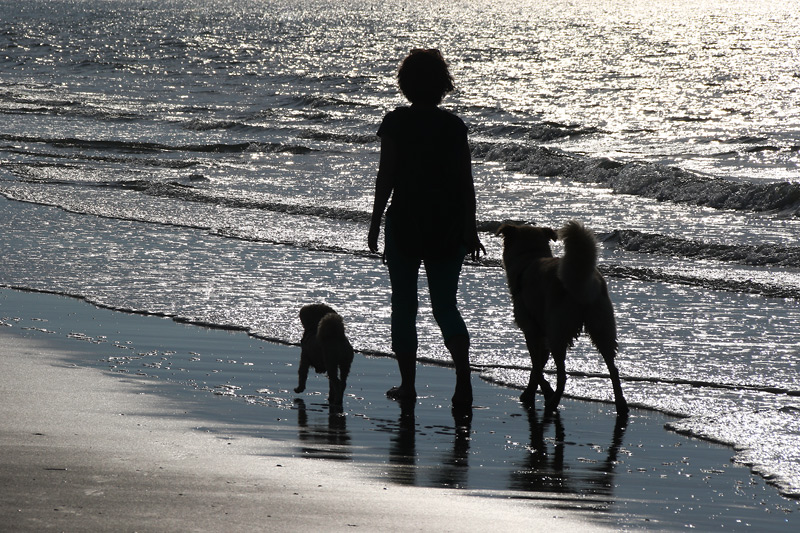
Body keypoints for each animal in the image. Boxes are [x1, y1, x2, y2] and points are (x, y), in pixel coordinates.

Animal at [496, 220, 628, 416]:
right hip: (602, 327)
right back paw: (621, 404)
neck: (529, 257)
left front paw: (542, 391)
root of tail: (580, 281)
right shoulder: (543, 334)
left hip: (558, 331)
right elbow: (538, 366)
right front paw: (530, 393)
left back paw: (553, 402)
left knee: (562, 375)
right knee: (613, 368)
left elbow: (537, 366)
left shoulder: (532, 330)